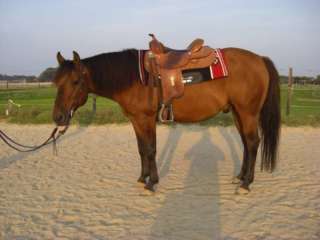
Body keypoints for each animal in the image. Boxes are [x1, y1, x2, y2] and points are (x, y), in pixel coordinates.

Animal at [52, 43, 280, 193]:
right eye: (56, 82)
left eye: (75, 81)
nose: (58, 116)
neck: (134, 77)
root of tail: (260, 59)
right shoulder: (136, 120)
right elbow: (141, 149)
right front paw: (142, 178)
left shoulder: (146, 119)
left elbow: (150, 149)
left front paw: (151, 182)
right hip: (237, 112)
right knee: (246, 143)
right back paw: (240, 177)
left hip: (248, 113)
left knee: (252, 142)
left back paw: (246, 183)